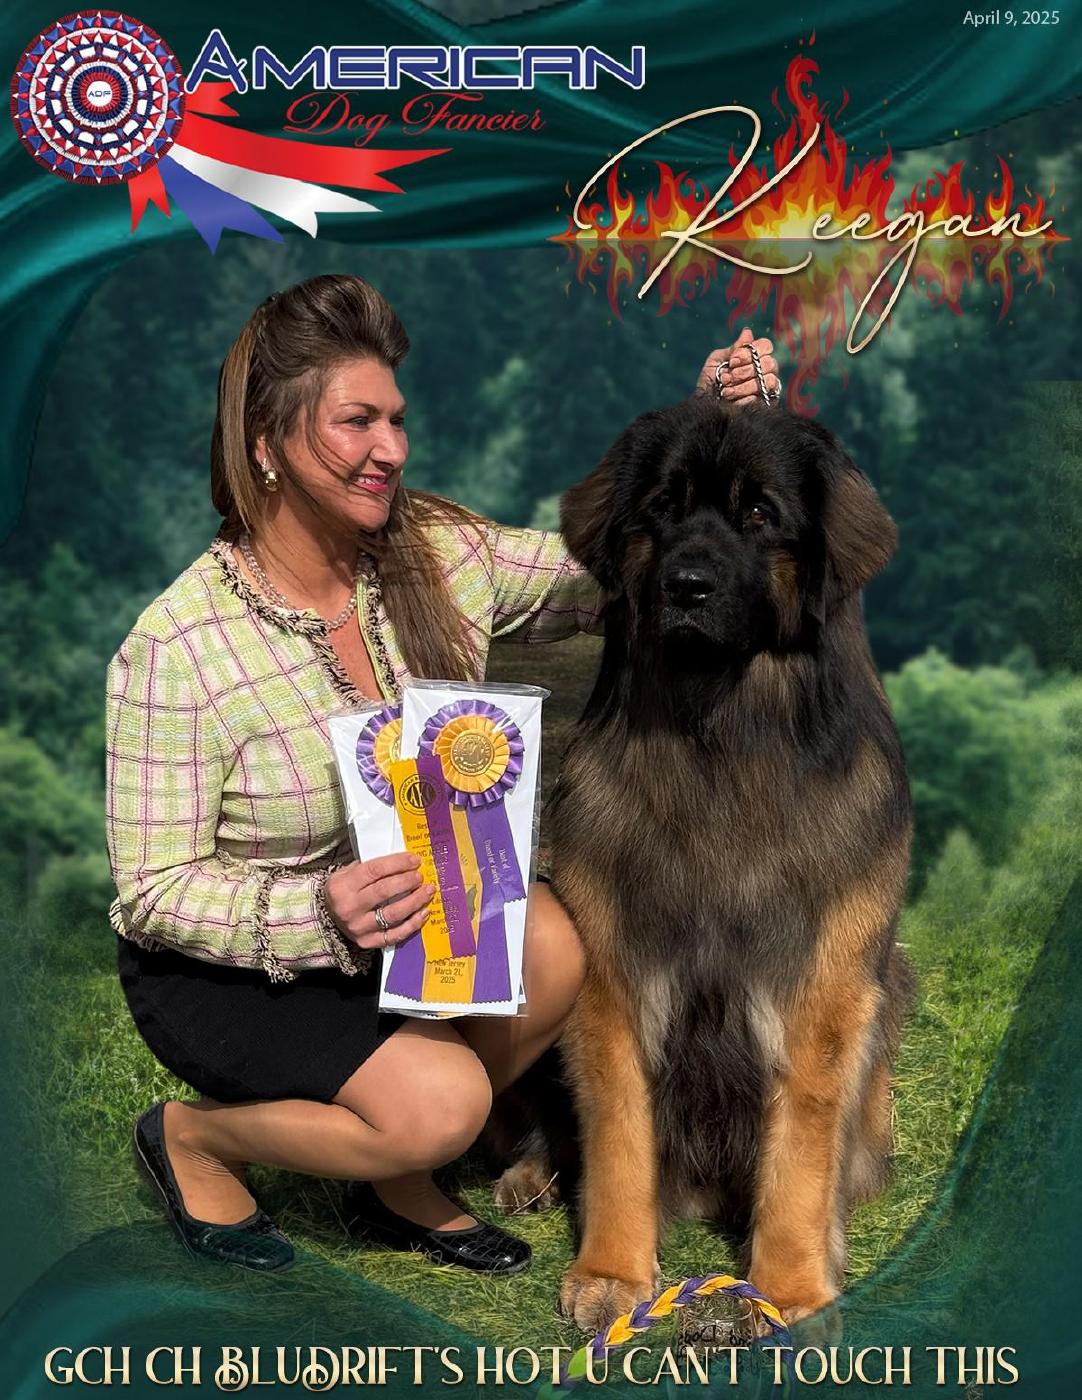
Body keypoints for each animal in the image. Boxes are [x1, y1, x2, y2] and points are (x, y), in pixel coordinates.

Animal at [497, 395, 913, 1331]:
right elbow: (618, 1130)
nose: (686, 585)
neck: (718, 738)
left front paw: (791, 1287)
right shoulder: (611, 969)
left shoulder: (822, 985)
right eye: (661, 509)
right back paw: (529, 1172)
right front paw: (612, 1272)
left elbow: (800, 1144)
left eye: (760, 514)